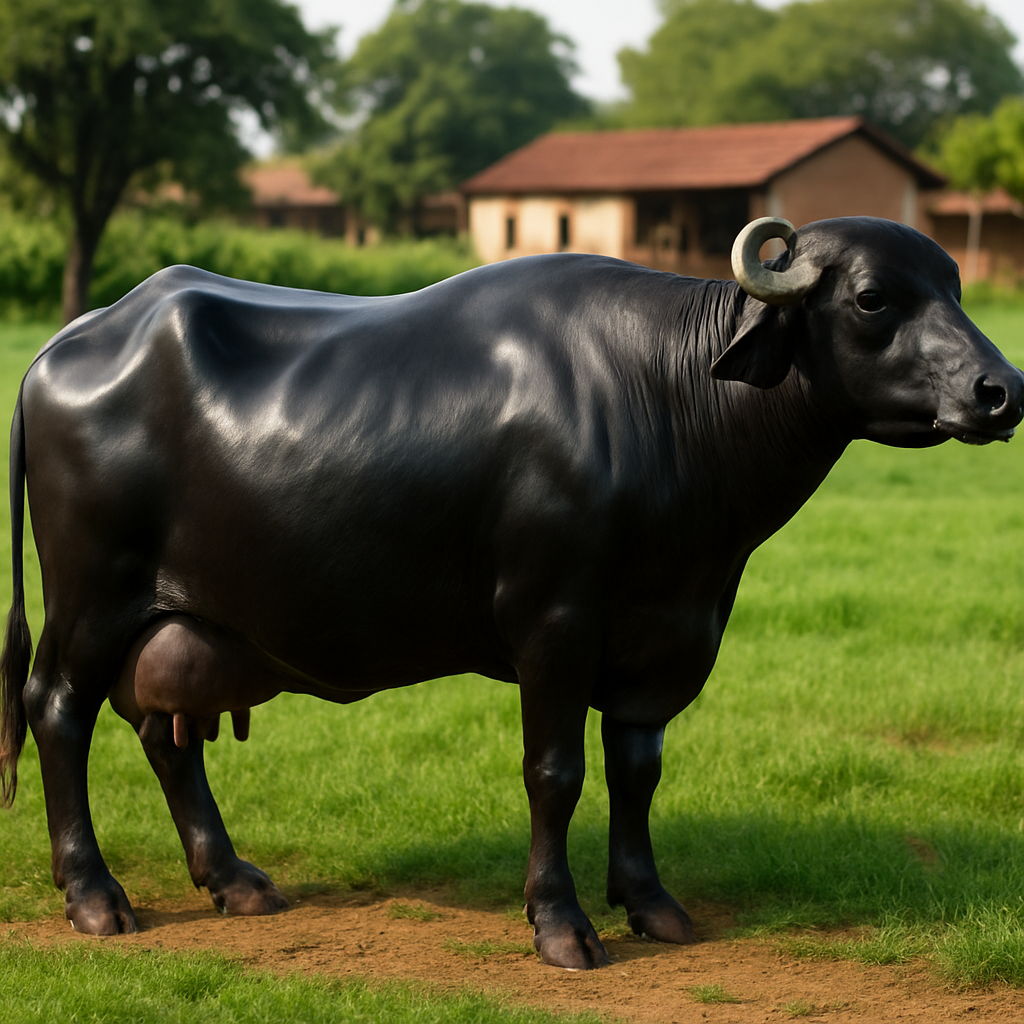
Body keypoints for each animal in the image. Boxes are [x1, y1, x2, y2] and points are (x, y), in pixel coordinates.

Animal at [1, 216, 1021, 969]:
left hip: (181, 618)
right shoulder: (554, 625)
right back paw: (94, 896)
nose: (1000, 389)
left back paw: (234, 880)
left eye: (955, 287)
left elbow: (638, 770)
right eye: (873, 297)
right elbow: (555, 773)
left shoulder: (665, 634)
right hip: (91, 598)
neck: (669, 399)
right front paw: (560, 922)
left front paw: (650, 902)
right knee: (57, 712)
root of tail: (70, 345)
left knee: (164, 735)